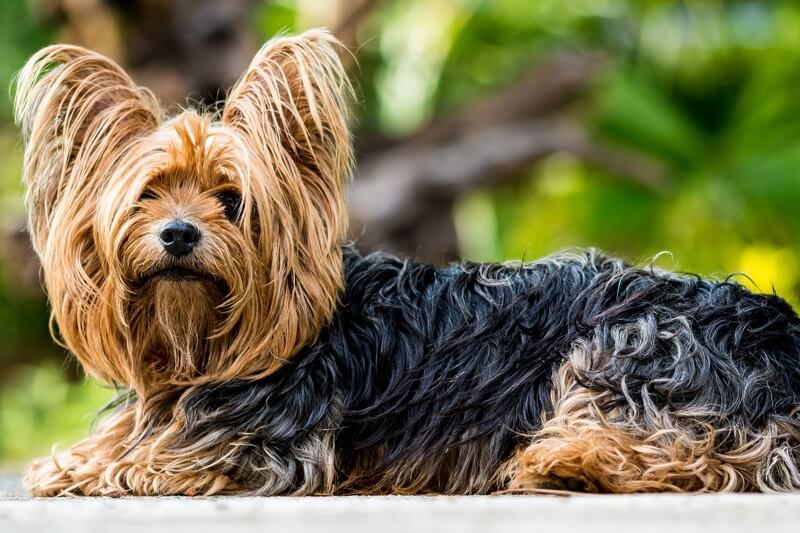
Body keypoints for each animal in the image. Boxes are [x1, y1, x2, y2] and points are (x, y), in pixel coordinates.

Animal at [12, 29, 800, 494]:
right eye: (147, 195)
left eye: (233, 201)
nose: (178, 234)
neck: (199, 345)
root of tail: (782, 336)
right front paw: (77, 458)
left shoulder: (270, 447)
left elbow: (152, 461)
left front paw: (92, 467)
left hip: (634, 342)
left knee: (711, 456)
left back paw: (570, 463)